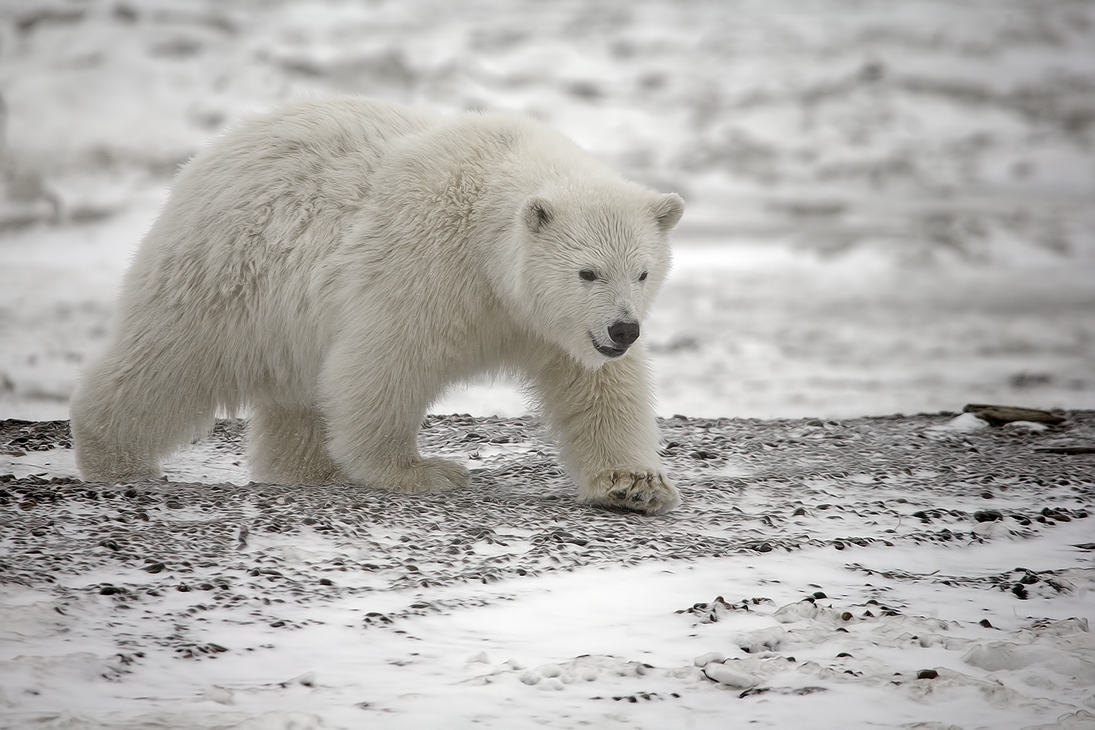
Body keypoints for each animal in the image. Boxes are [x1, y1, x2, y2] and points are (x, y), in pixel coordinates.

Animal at [70, 96, 683, 516]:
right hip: (231, 273)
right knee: (170, 362)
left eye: (643, 271)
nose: (624, 329)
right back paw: (115, 459)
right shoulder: (430, 264)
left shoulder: (553, 325)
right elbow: (387, 361)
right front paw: (423, 470)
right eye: (587, 271)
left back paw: (305, 470)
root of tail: (209, 155)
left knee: (294, 401)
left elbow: (599, 386)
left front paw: (635, 485)